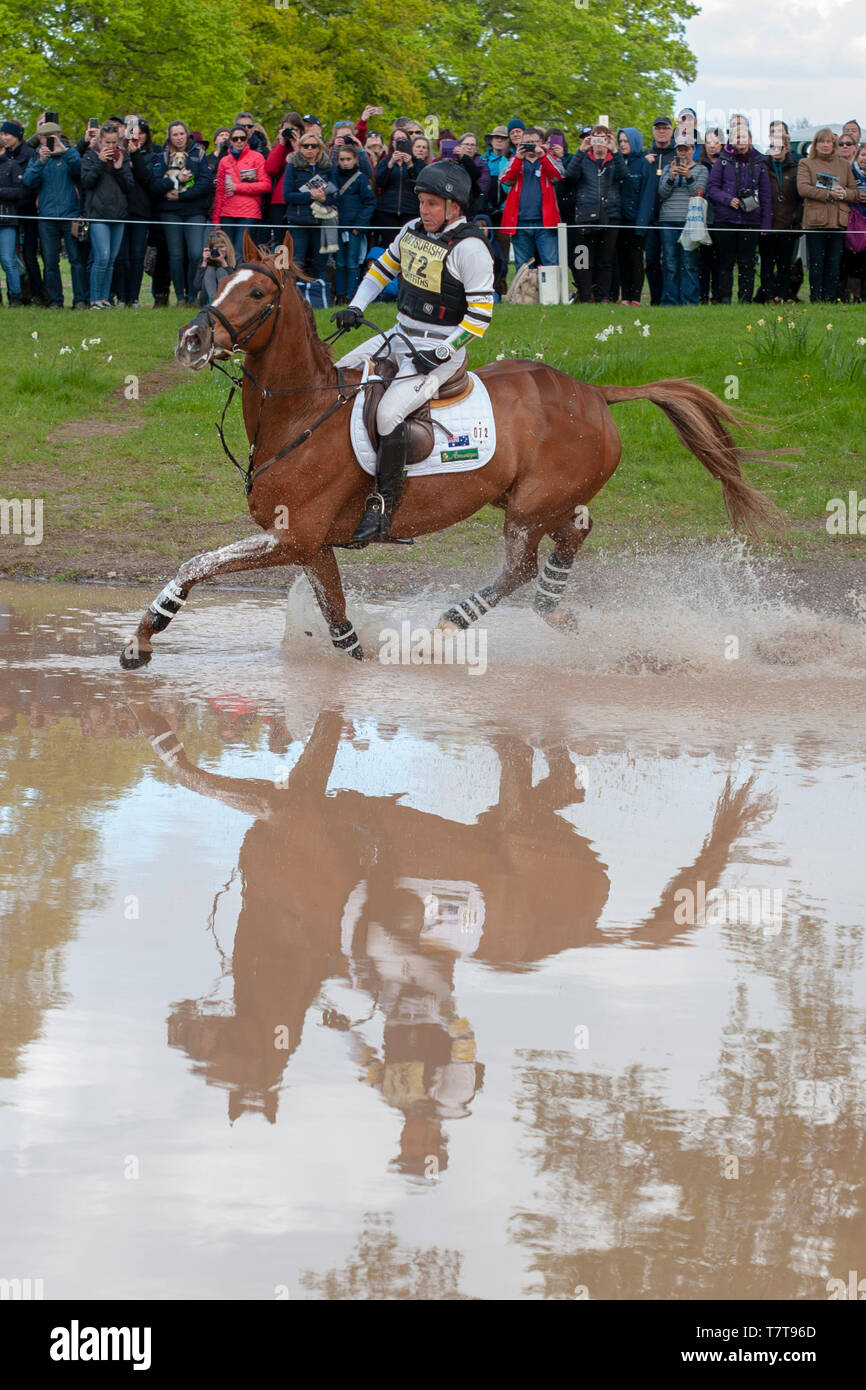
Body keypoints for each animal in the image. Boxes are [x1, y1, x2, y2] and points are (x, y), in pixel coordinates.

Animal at [120, 230, 778, 669]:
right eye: (219, 283)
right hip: (532, 498)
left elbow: (196, 564)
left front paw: (141, 638)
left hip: (527, 508)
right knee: (574, 533)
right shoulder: (313, 547)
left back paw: (444, 630)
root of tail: (594, 391)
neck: (301, 413)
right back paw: (555, 610)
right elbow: (339, 625)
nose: (190, 340)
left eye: (257, 292)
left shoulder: (291, 537)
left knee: (519, 568)